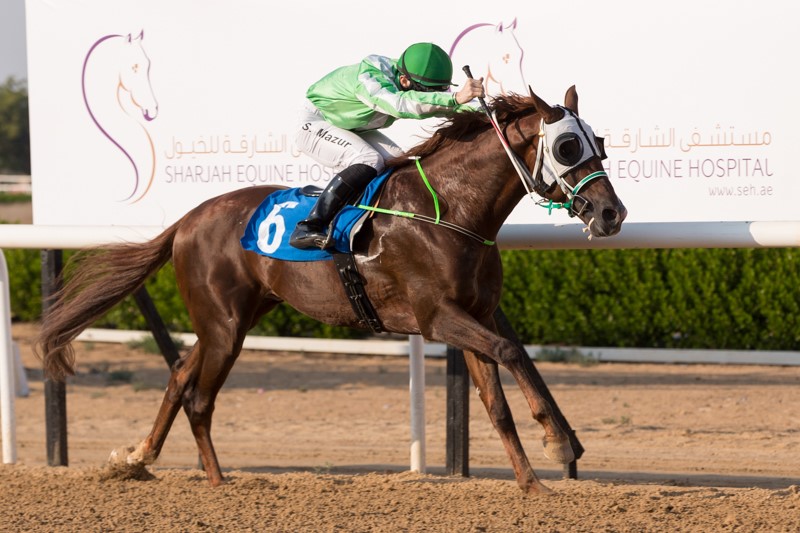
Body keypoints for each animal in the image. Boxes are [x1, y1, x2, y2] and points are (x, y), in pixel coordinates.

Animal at [37, 86, 627, 495]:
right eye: (567, 145)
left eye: (599, 142)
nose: (611, 213)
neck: (450, 210)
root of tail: (186, 220)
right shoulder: (437, 316)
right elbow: (508, 353)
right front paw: (557, 445)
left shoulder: (476, 313)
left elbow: (499, 394)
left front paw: (536, 477)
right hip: (225, 326)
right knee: (199, 395)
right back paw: (218, 483)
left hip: (234, 318)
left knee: (181, 374)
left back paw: (140, 459)